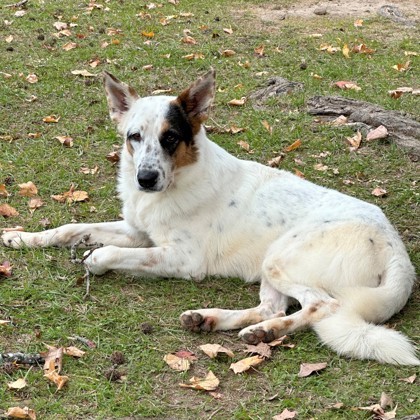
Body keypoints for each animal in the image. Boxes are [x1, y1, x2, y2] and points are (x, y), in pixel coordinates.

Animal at [1, 69, 418, 364]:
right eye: (134, 137)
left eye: (170, 138)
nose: (145, 179)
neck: (178, 180)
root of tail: (397, 251)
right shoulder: (138, 231)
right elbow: (71, 228)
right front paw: (20, 237)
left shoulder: (183, 259)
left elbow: (104, 253)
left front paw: (93, 260)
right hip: (271, 265)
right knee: (272, 306)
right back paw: (219, 322)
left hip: (283, 257)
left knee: (321, 306)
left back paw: (266, 330)